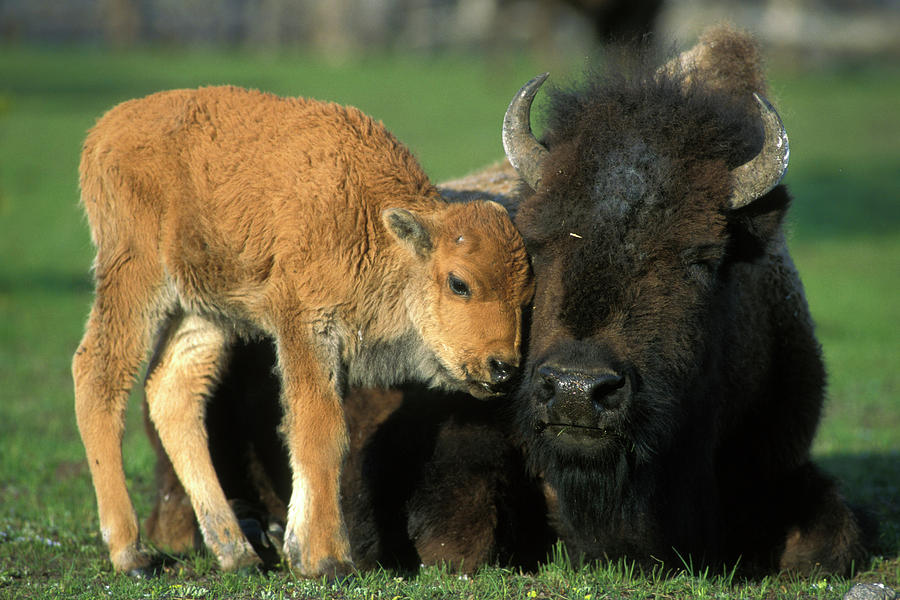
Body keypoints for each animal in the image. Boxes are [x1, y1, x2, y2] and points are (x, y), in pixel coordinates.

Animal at [75, 85, 536, 576]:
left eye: (528, 296)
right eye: (459, 283)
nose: (502, 367)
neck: (375, 226)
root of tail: (106, 129)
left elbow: (308, 430)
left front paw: (299, 549)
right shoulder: (305, 328)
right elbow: (321, 431)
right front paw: (329, 558)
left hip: (204, 310)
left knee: (173, 390)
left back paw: (237, 552)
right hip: (135, 279)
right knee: (98, 377)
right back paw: (131, 553)